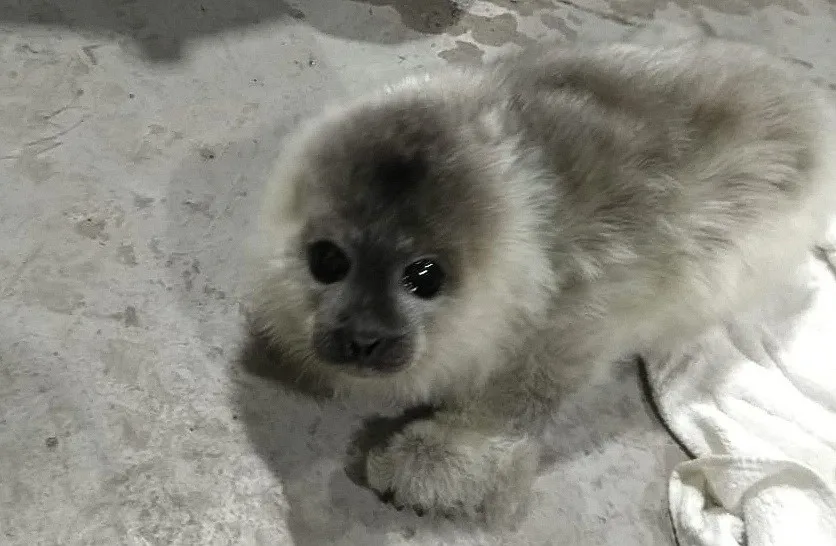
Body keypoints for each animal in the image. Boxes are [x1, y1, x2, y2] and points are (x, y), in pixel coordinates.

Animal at [245, 32, 836, 525]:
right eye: (327, 260)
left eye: (425, 276)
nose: (364, 336)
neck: (530, 213)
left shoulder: (576, 312)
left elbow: (520, 394)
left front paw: (434, 463)